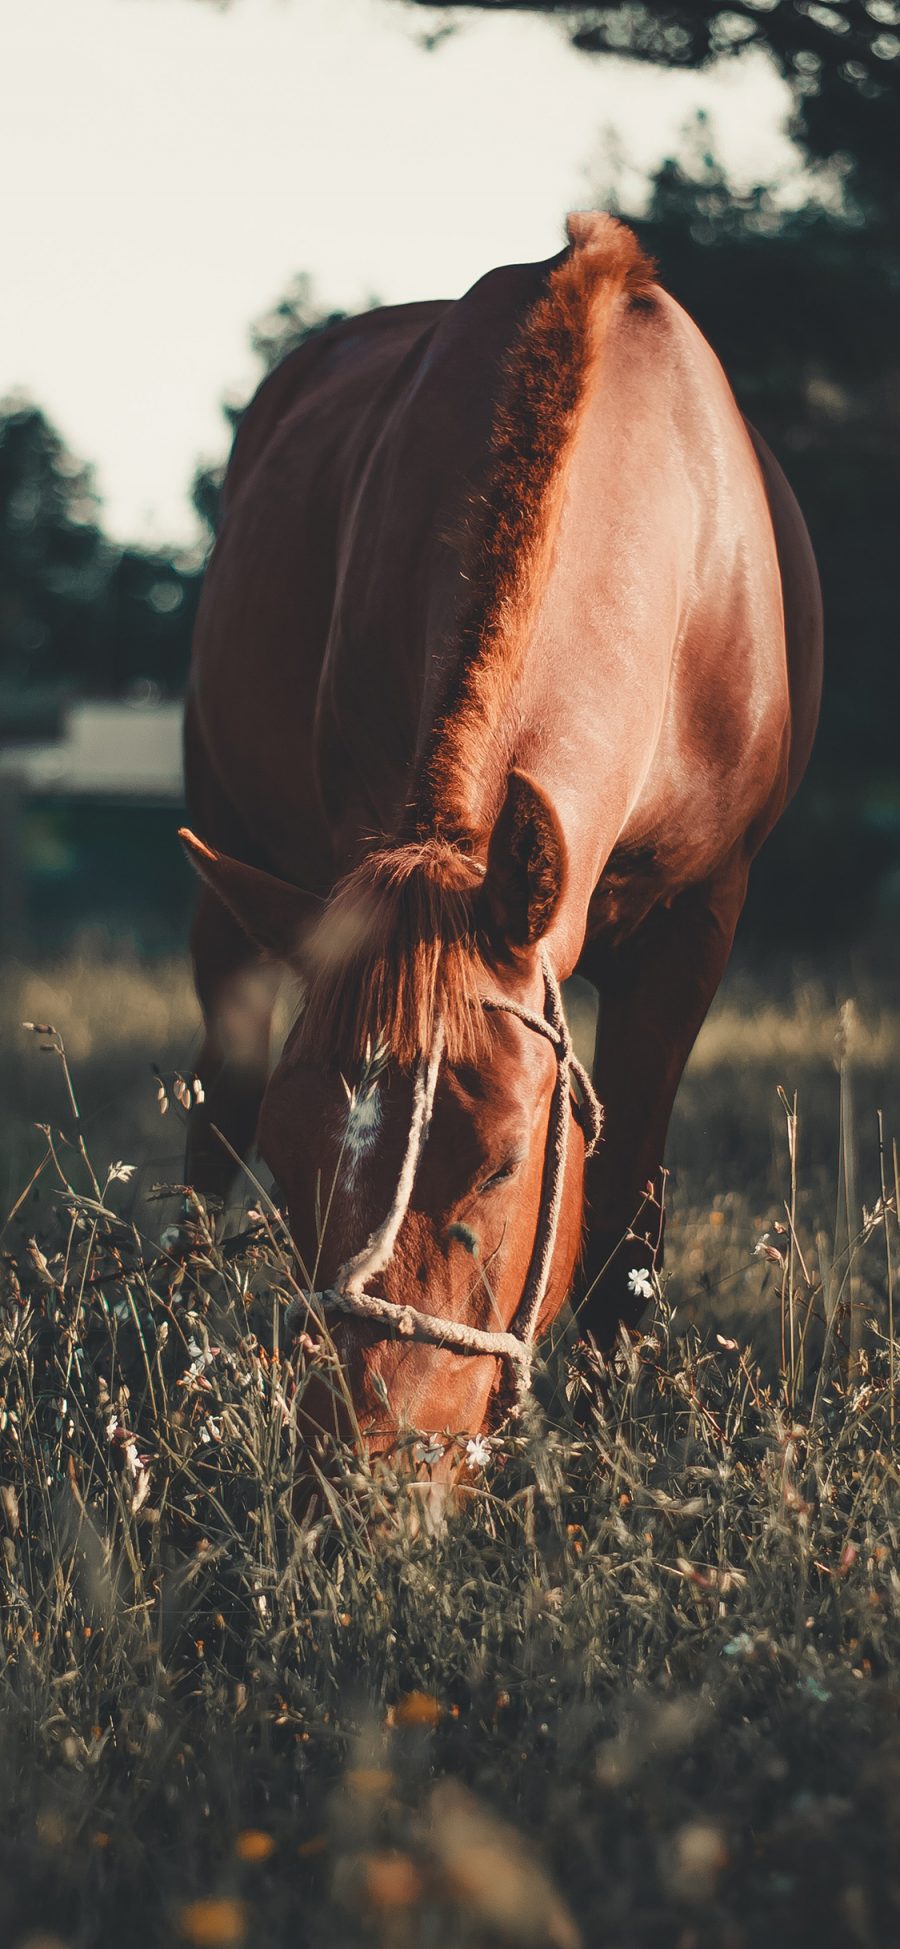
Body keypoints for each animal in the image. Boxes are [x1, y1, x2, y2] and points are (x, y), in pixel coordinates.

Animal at [181, 209, 822, 1465]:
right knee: (207, 1118)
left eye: (508, 1163)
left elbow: (626, 1218)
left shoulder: (699, 925)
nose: (370, 1465)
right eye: (293, 1156)